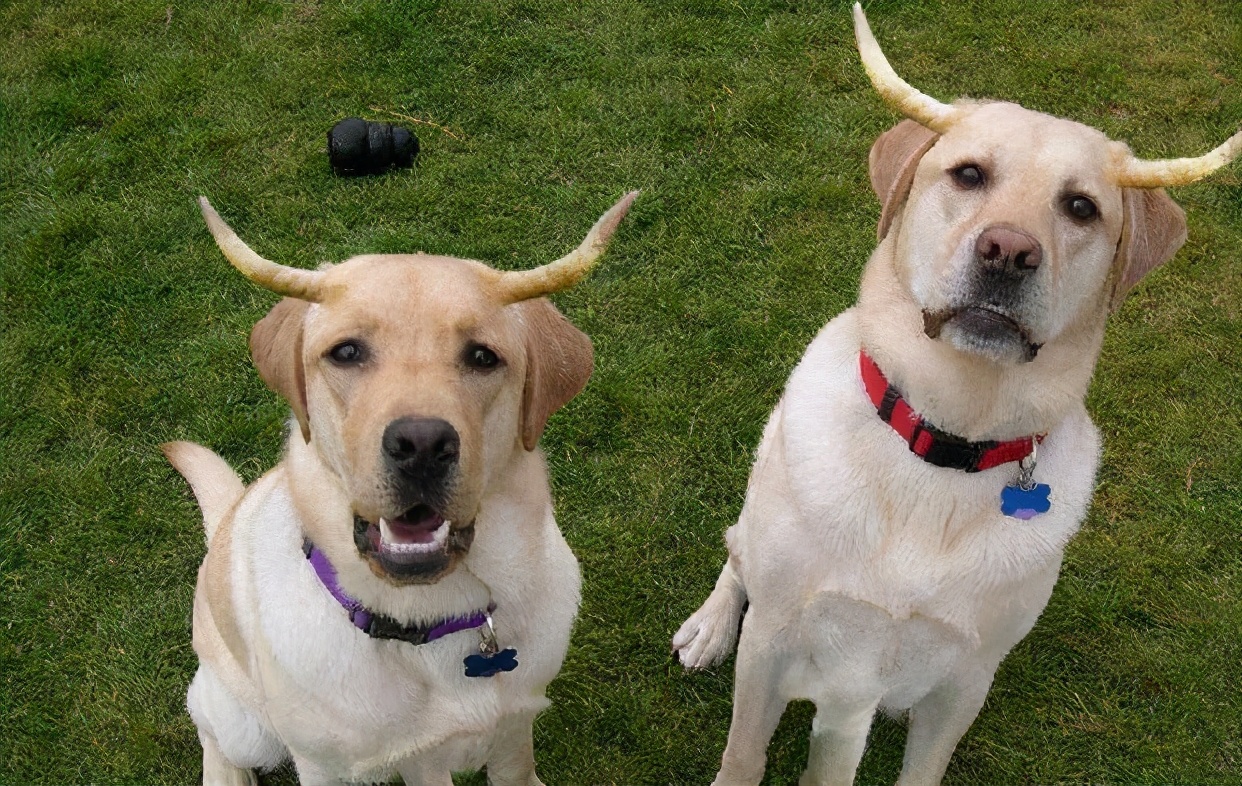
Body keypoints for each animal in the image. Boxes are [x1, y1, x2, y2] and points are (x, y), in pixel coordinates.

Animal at [165, 191, 635, 784]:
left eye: (483, 356)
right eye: (346, 352)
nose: (422, 445)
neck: (433, 621)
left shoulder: (515, 725)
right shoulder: (331, 766)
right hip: (247, 727)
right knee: (207, 723)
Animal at [675, 6, 1237, 784]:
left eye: (1081, 207)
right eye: (969, 174)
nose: (1009, 252)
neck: (945, 437)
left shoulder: (967, 679)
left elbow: (923, 765)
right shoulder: (774, 645)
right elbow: (743, 753)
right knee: (737, 555)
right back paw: (707, 626)